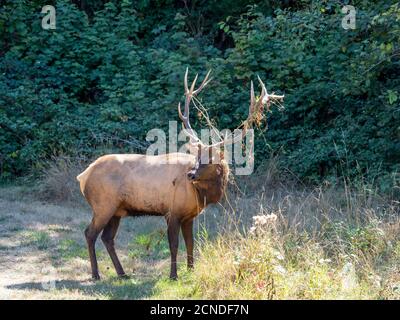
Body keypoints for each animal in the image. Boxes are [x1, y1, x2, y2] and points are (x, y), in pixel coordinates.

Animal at [76, 68, 282, 280]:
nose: (191, 175)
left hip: (117, 209)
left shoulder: (189, 216)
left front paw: (191, 270)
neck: (200, 195)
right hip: (103, 204)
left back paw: (122, 273)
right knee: (90, 233)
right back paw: (96, 274)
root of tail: (83, 176)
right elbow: (174, 245)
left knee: (107, 238)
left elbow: (191, 243)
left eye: (211, 159)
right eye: (197, 156)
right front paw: (173, 275)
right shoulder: (172, 210)